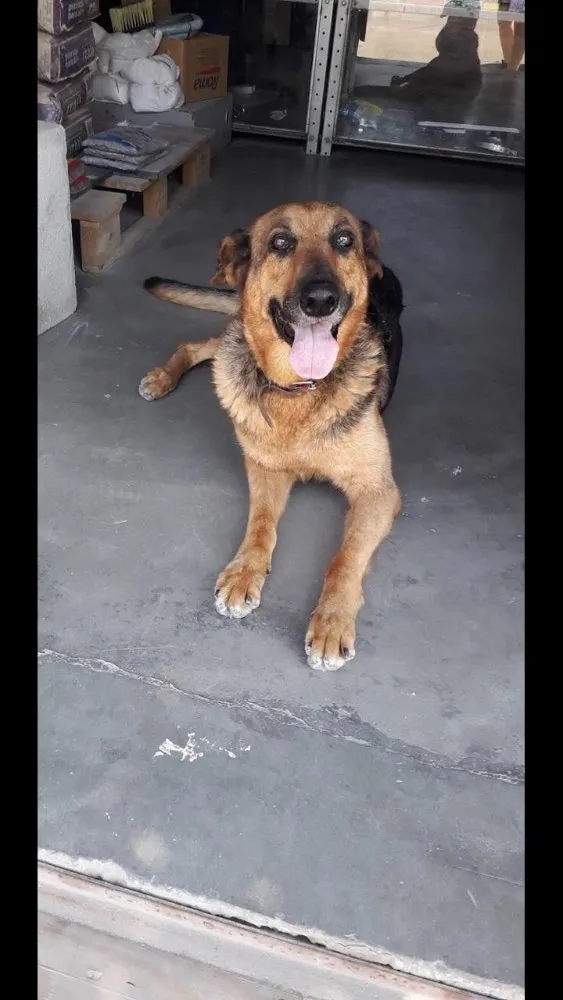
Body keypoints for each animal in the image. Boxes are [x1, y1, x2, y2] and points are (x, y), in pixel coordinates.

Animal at [141, 201, 406, 672]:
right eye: (280, 243)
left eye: (344, 240)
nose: (320, 300)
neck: (300, 389)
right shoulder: (265, 467)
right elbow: (261, 523)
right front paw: (245, 571)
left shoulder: (378, 492)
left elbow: (344, 558)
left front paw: (331, 622)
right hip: (233, 344)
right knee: (203, 345)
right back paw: (161, 377)